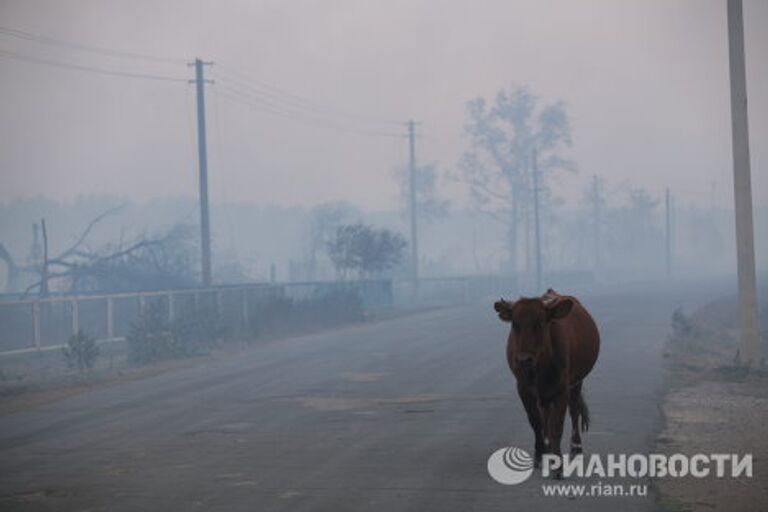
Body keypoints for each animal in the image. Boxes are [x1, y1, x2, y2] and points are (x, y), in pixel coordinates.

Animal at [492, 288, 600, 476]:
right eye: (515, 325)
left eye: (541, 323)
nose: (524, 359)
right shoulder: (523, 389)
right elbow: (536, 422)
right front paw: (540, 454)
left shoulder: (562, 389)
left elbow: (557, 424)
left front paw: (557, 465)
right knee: (545, 416)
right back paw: (548, 448)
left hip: (576, 382)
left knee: (574, 410)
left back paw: (576, 447)